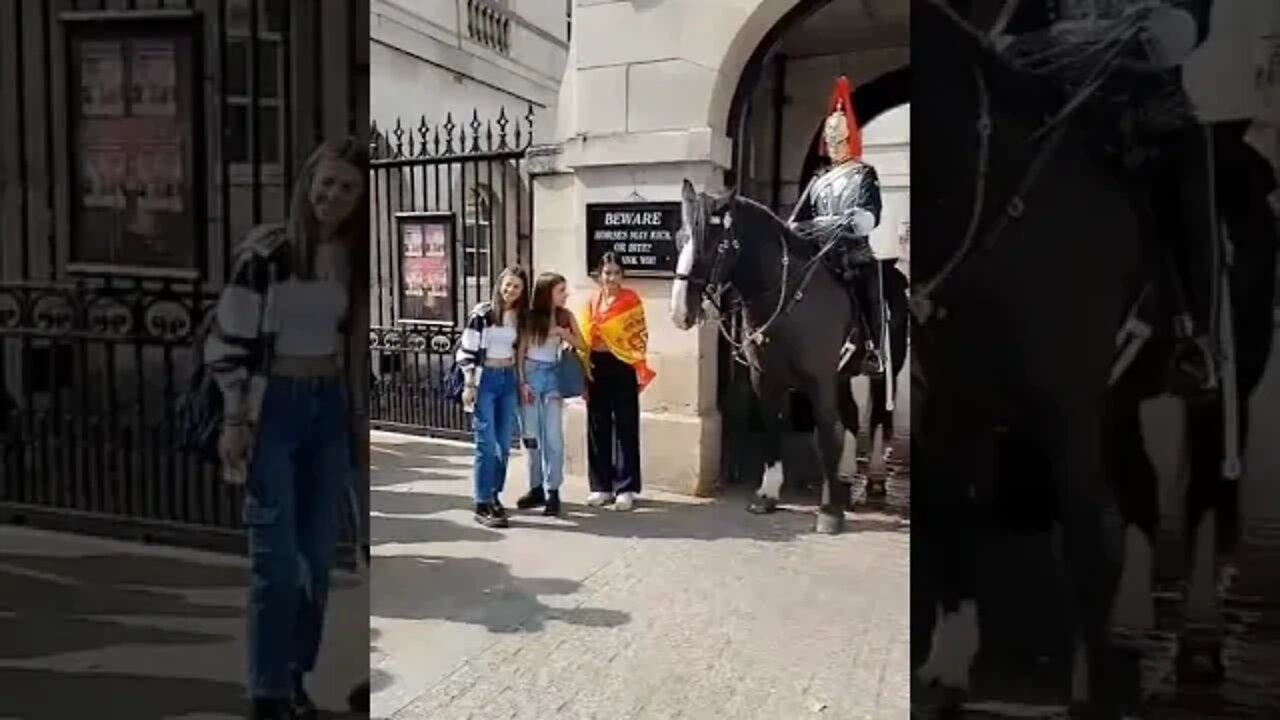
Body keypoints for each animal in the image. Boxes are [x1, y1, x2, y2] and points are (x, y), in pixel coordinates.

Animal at [670, 176, 911, 530]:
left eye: (715, 244)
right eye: (680, 238)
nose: (679, 312)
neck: (787, 297)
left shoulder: (819, 379)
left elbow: (826, 432)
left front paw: (829, 511)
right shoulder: (766, 378)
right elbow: (773, 427)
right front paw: (767, 495)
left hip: (882, 371)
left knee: (878, 417)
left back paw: (874, 480)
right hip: (843, 375)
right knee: (852, 418)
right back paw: (844, 479)